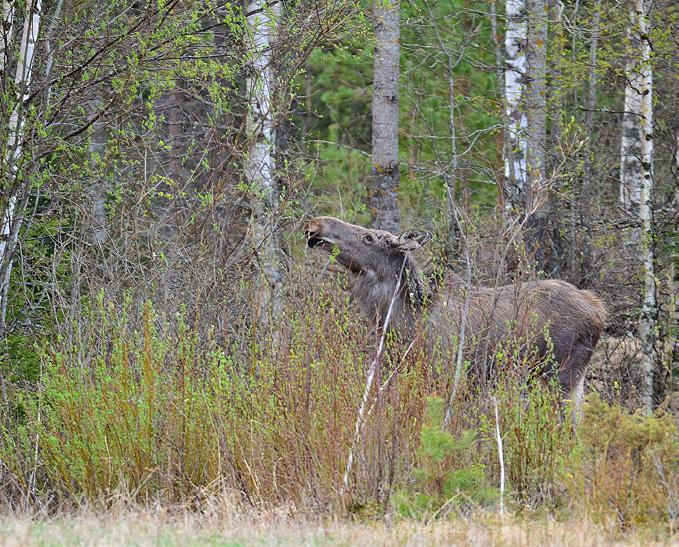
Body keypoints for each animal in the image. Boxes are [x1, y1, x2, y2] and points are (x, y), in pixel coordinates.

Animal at [306, 216, 608, 418]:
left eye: (368, 237)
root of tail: (599, 310)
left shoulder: (449, 374)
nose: (316, 225)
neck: (402, 321)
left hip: (562, 374)